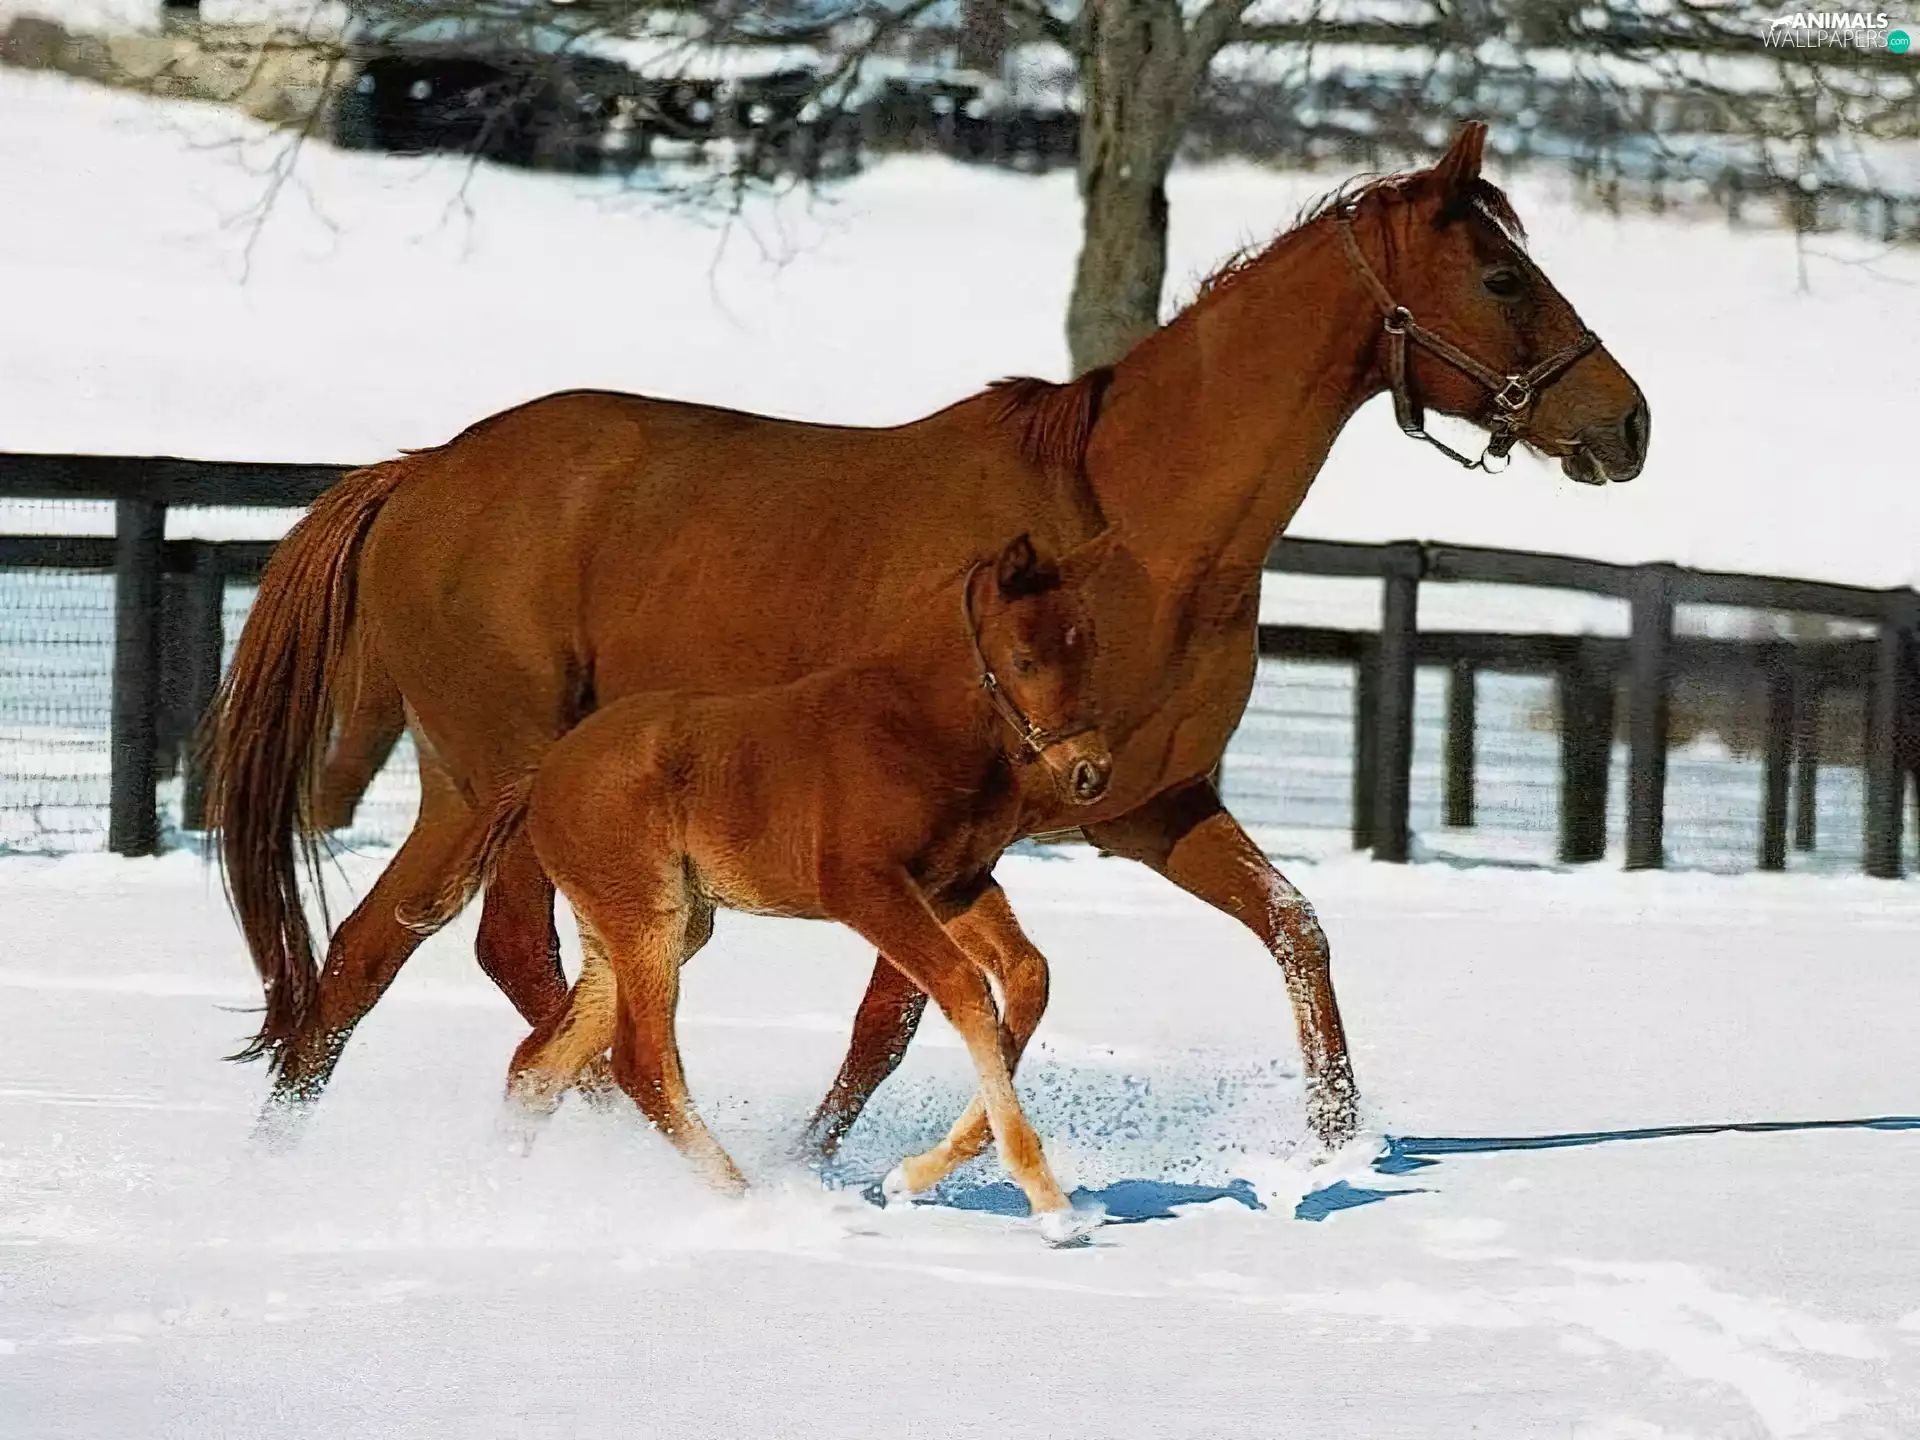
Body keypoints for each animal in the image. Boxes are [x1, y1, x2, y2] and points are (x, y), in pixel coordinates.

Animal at [208, 123, 1650, 1155]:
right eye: (1504, 274)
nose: (1627, 423)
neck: (1129, 532)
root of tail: (419, 471)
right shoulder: (938, 839)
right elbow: (898, 1015)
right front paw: (817, 1163)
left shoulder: (1148, 808)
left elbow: (1296, 934)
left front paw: (1340, 1151)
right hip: (507, 779)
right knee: (504, 960)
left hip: (474, 791)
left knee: (368, 961)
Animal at [397, 533, 1115, 1240]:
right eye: (1024, 659)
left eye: (1088, 646)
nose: (1090, 772)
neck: (915, 728)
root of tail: (544, 770)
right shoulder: (865, 889)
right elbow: (966, 992)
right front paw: (1051, 1207)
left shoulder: (955, 886)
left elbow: (1028, 978)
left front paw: (910, 1177)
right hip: (647, 918)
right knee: (641, 1062)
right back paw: (752, 1203)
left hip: (655, 926)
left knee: (540, 1062)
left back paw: (493, 1191)